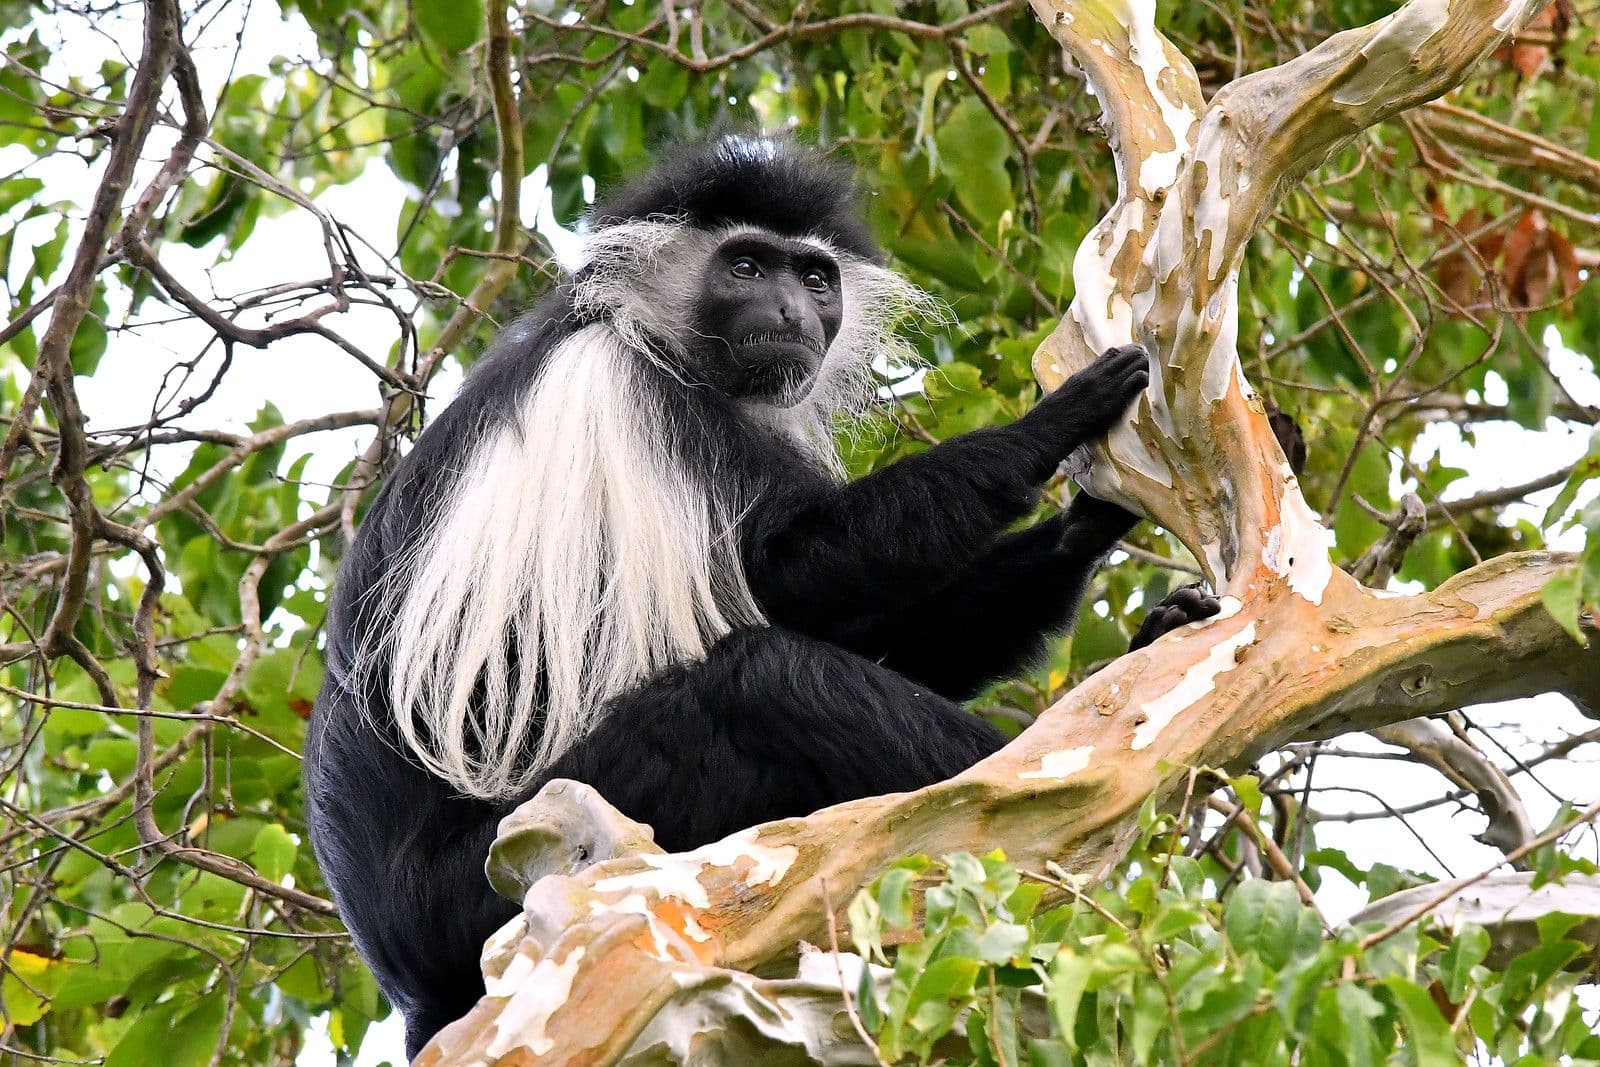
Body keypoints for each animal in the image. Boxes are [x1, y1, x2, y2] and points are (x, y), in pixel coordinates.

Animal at [303, 137, 1220, 1056]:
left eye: (814, 278)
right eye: (744, 266)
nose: (789, 311)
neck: (660, 341)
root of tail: (397, 952)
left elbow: (880, 631)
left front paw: (1094, 520)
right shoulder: (649, 408)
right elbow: (795, 572)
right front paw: (1057, 420)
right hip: (515, 847)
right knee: (765, 681)